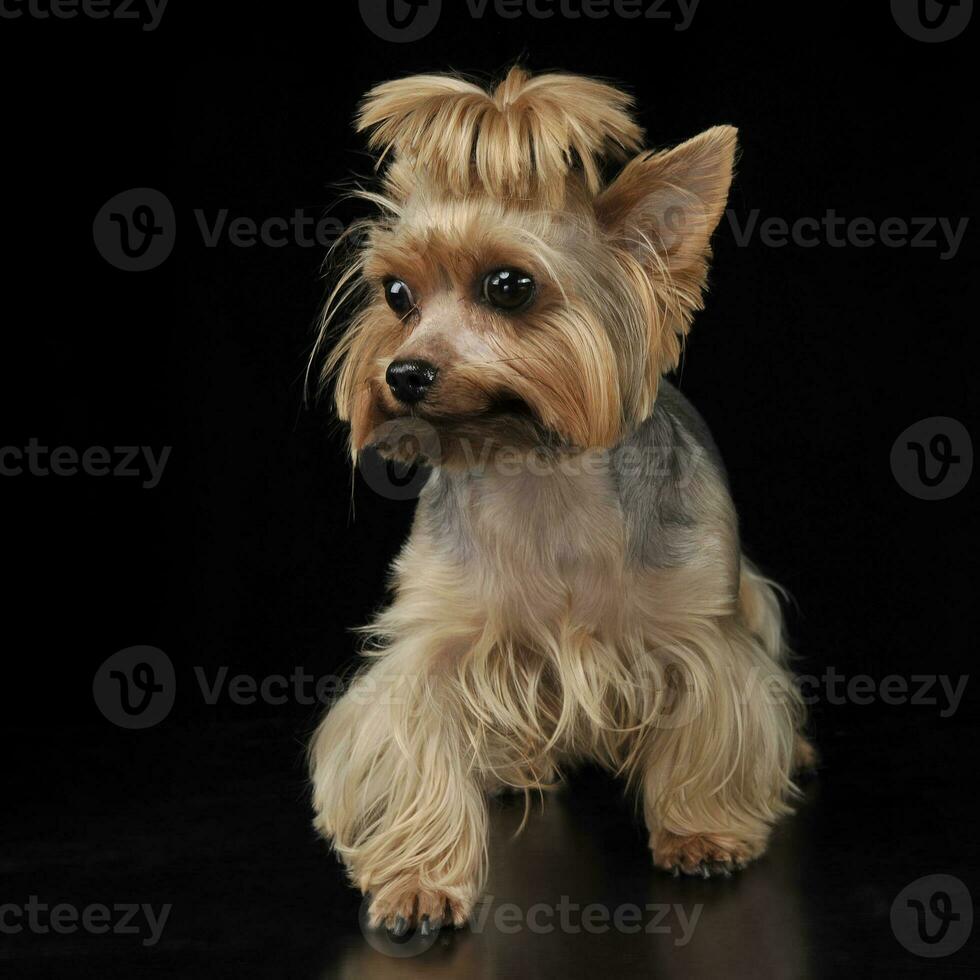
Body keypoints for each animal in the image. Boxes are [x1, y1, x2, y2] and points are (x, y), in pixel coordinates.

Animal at [308, 67, 812, 936]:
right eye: (397, 294)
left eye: (509, 286)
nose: (402, 373)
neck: (535, 467)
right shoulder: (432, 641)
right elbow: (411, 738)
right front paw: (417, 881)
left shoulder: (701, 632)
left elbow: (718, 715)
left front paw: (704, 832)